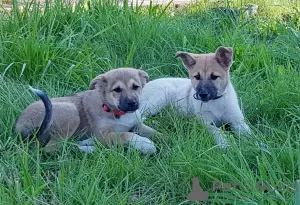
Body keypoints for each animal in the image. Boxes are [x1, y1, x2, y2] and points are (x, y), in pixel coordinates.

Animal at [15, 67, 158, 154]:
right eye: (117, 90)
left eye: (136, 87)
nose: (132, 103)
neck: (115, 112)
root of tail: (18, 128)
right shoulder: (102, 135)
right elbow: (124, 134)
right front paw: (144, 143)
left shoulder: (137, 125)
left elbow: (155, 133)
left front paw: (162, 139)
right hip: (71, 112)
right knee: (53, 148)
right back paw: (91, 148)